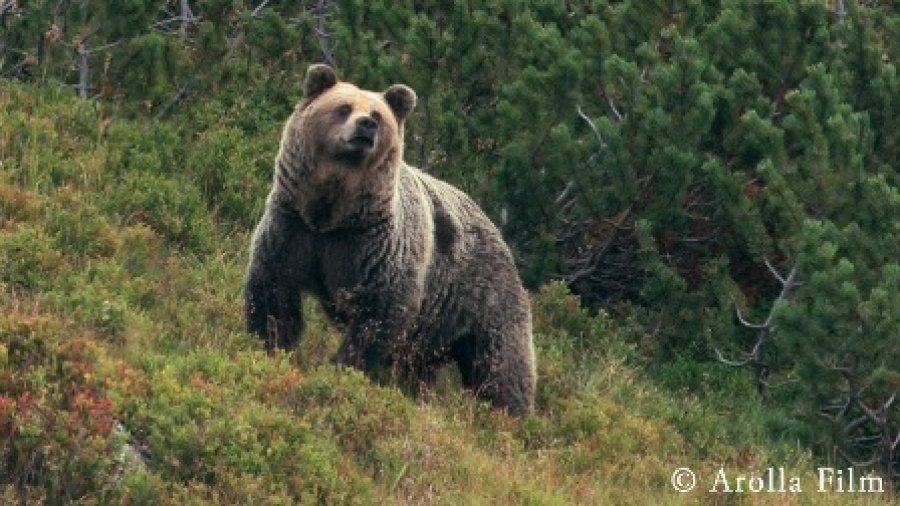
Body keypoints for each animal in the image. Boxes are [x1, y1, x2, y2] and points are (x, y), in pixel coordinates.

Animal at [244, 63, 536, 416]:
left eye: (377, 115)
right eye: (343, 108)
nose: (366, 125)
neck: (333, 213)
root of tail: (501, 238)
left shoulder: (375, 248)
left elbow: (378, 313)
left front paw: (342, 369)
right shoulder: (293, 229)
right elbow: (274, 290)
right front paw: (272, 344)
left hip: (484, 299)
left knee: (500, 366)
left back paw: (506, 415)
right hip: (434, 324)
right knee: (419, 366)